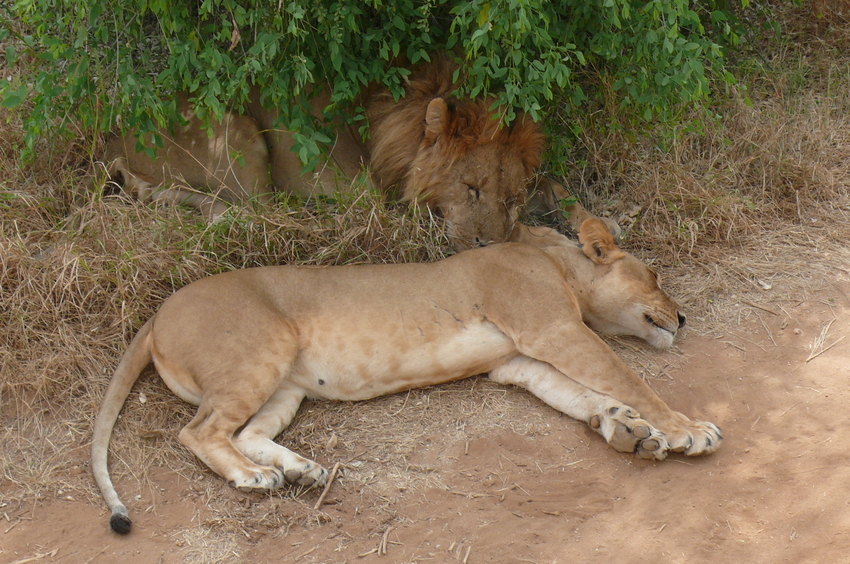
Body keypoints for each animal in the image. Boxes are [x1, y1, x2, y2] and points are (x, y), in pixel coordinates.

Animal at [93, 219, 720, 532]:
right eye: (655, 275)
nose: (684, 318)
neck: (554, 263)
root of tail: (157, 313)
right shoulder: (551, 329)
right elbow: (626, 377)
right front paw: (687, 429)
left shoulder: (517, 362)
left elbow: (579, 393)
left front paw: (629, 431)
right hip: (260, 352)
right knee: (198, 431)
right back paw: (255, 478)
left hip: (284, 386)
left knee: (244, 431)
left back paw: (304, 471)